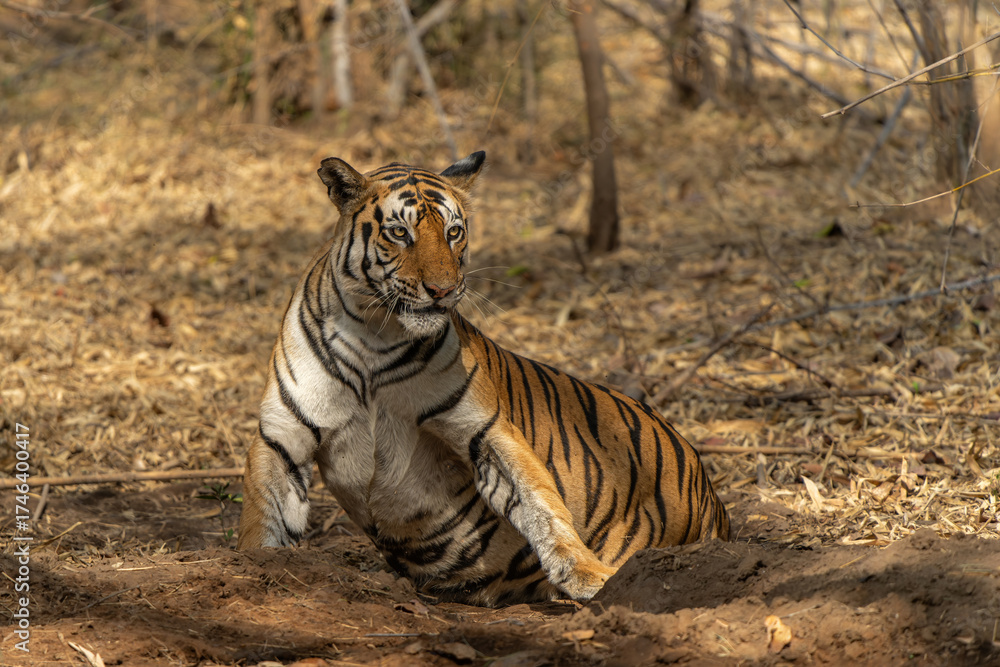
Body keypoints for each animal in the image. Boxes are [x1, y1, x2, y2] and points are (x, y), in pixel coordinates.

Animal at [236, 150, 730, 606]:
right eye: (399, 232)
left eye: (453, 232)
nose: (442, 290)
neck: (375, 334)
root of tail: (713, 496)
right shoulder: (283, 433)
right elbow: (263, 511)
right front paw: (250, 565)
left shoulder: (484, 428)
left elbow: (540, 499)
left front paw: (589, 574)